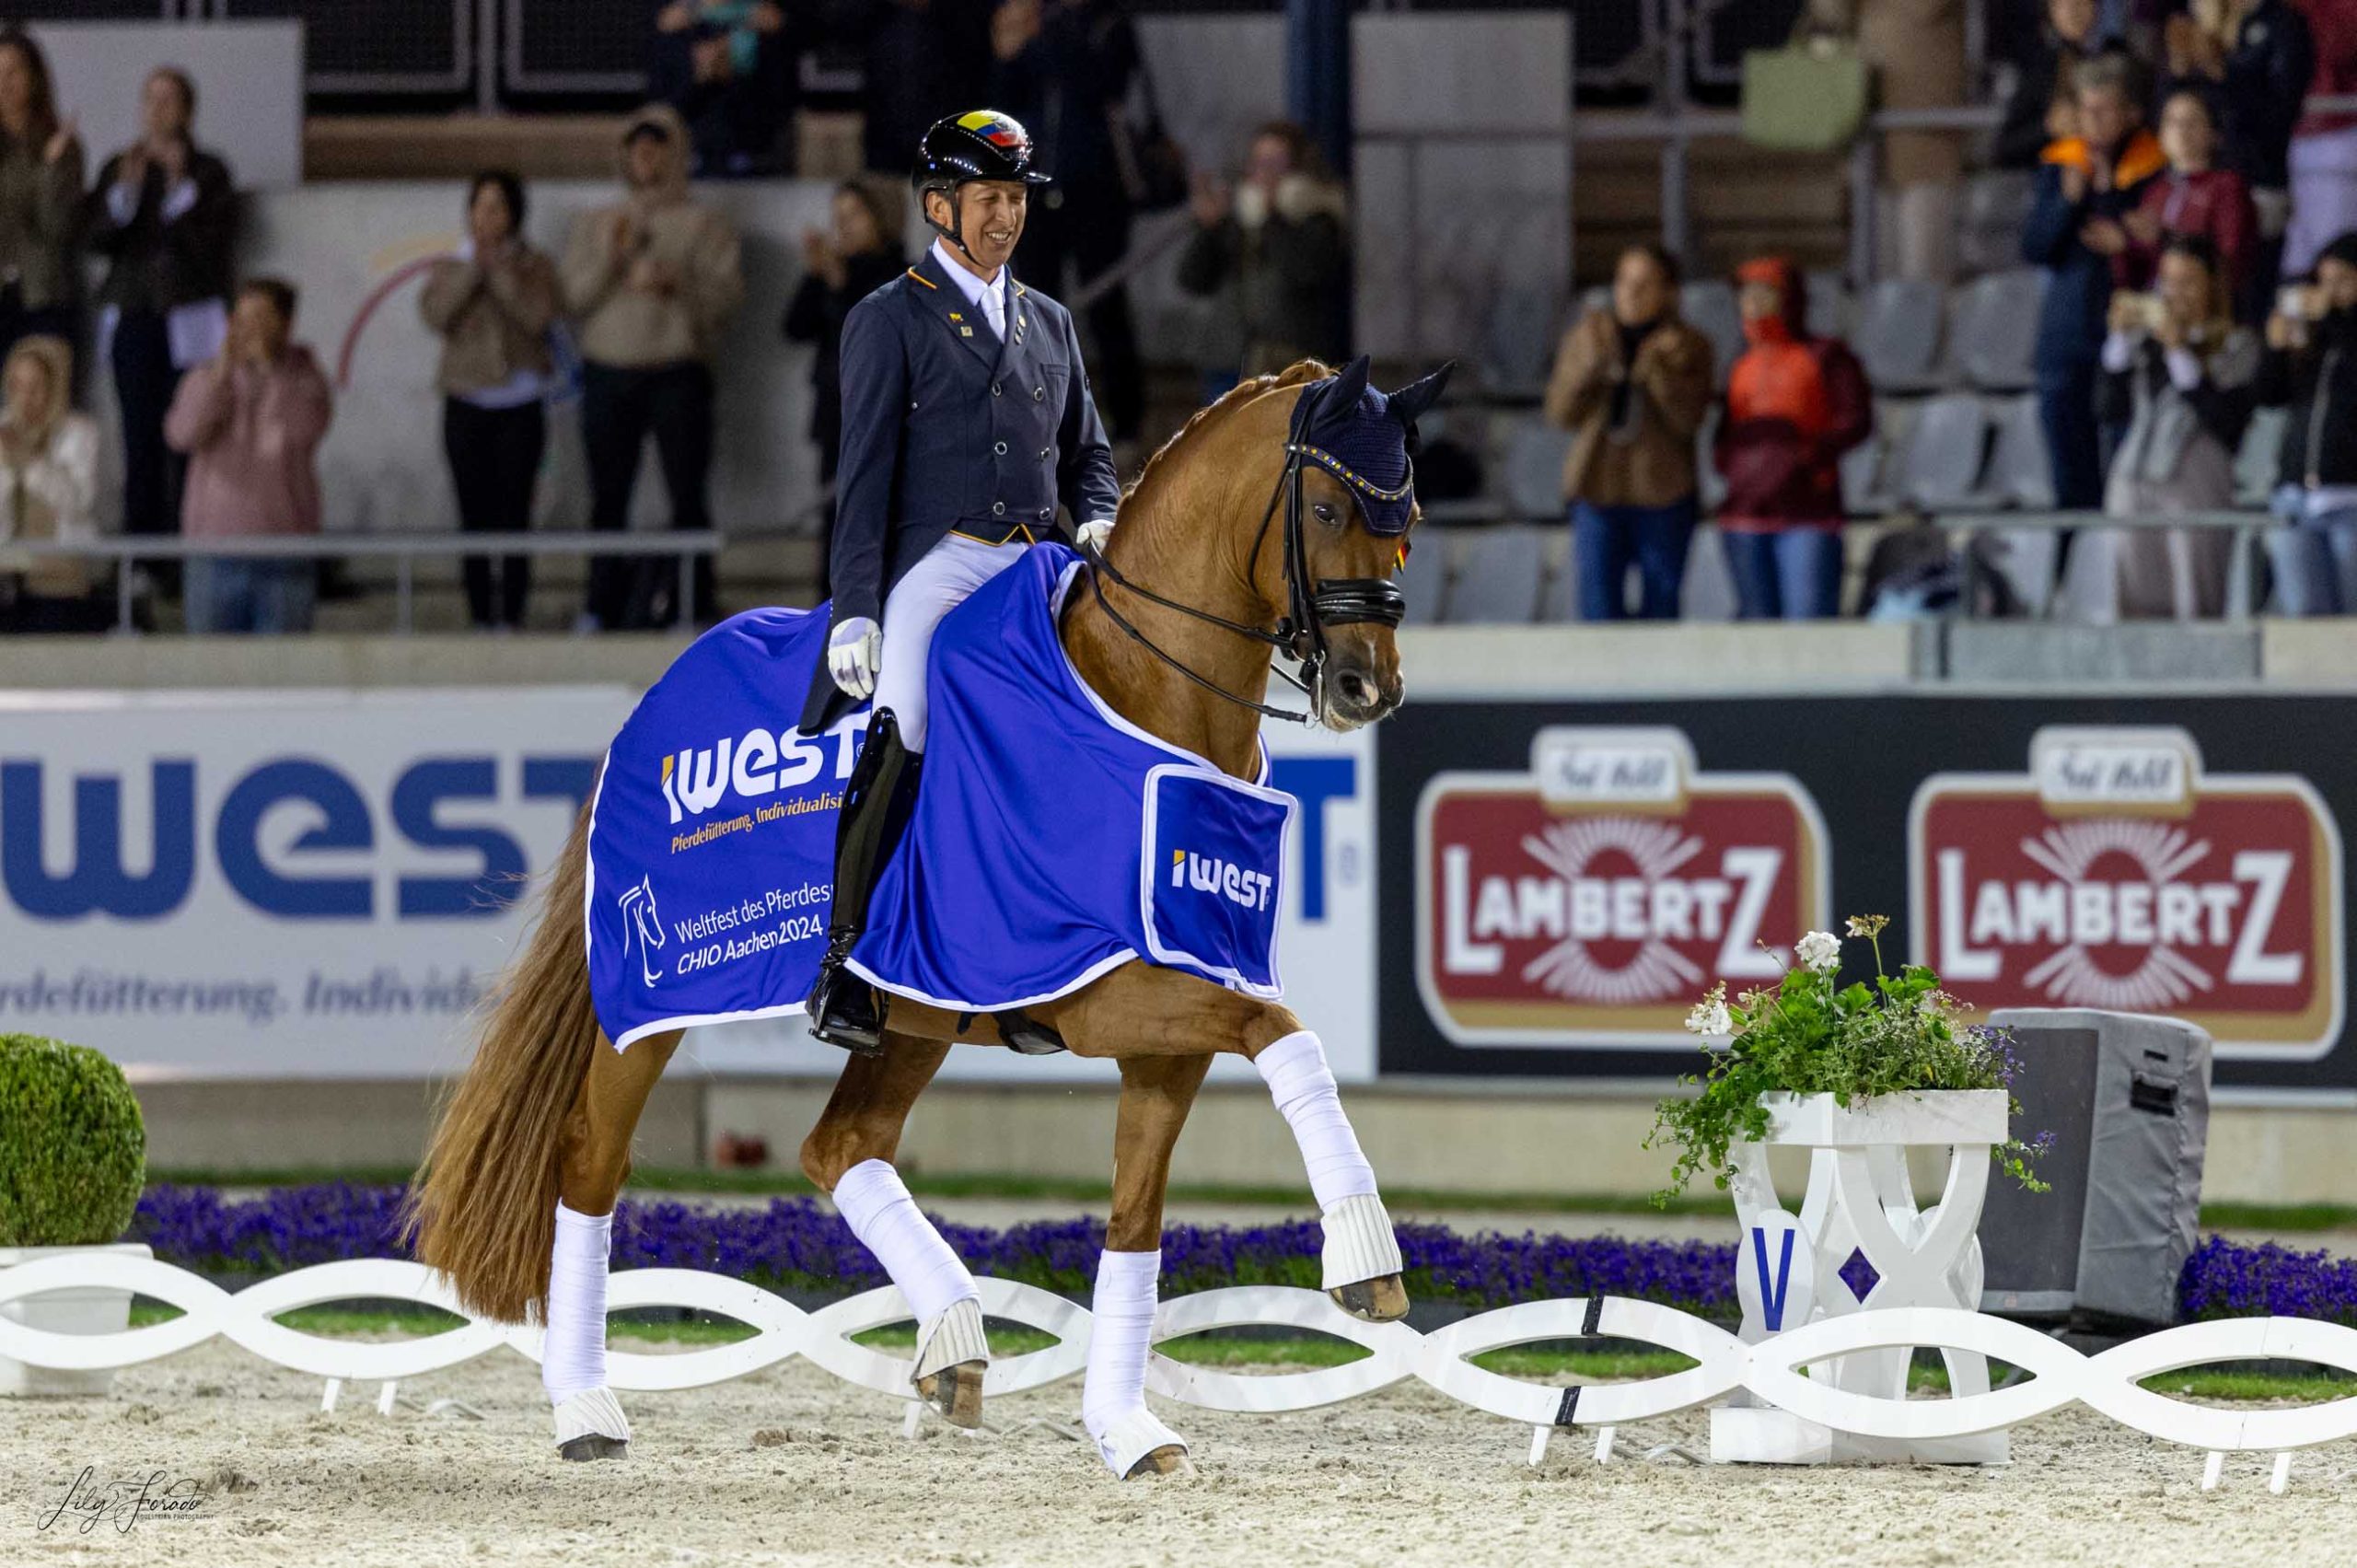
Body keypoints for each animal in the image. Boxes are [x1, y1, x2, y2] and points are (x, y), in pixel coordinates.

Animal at [401, 351, 1433, 1481]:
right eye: (1326, 505)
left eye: (1410, 514)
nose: (1367, 687)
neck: (1142, 695)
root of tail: (652, 698)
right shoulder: (1105, 991)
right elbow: (1286, 1033)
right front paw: (1364, 1253)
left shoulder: (1168, 1025)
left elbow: (1136, 1222)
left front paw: (1128, 1431)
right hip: (656, 1002)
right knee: (591, 1159)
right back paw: (586, 1409)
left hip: (912, 1005)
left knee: (837, 1145)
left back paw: (952, 1339)